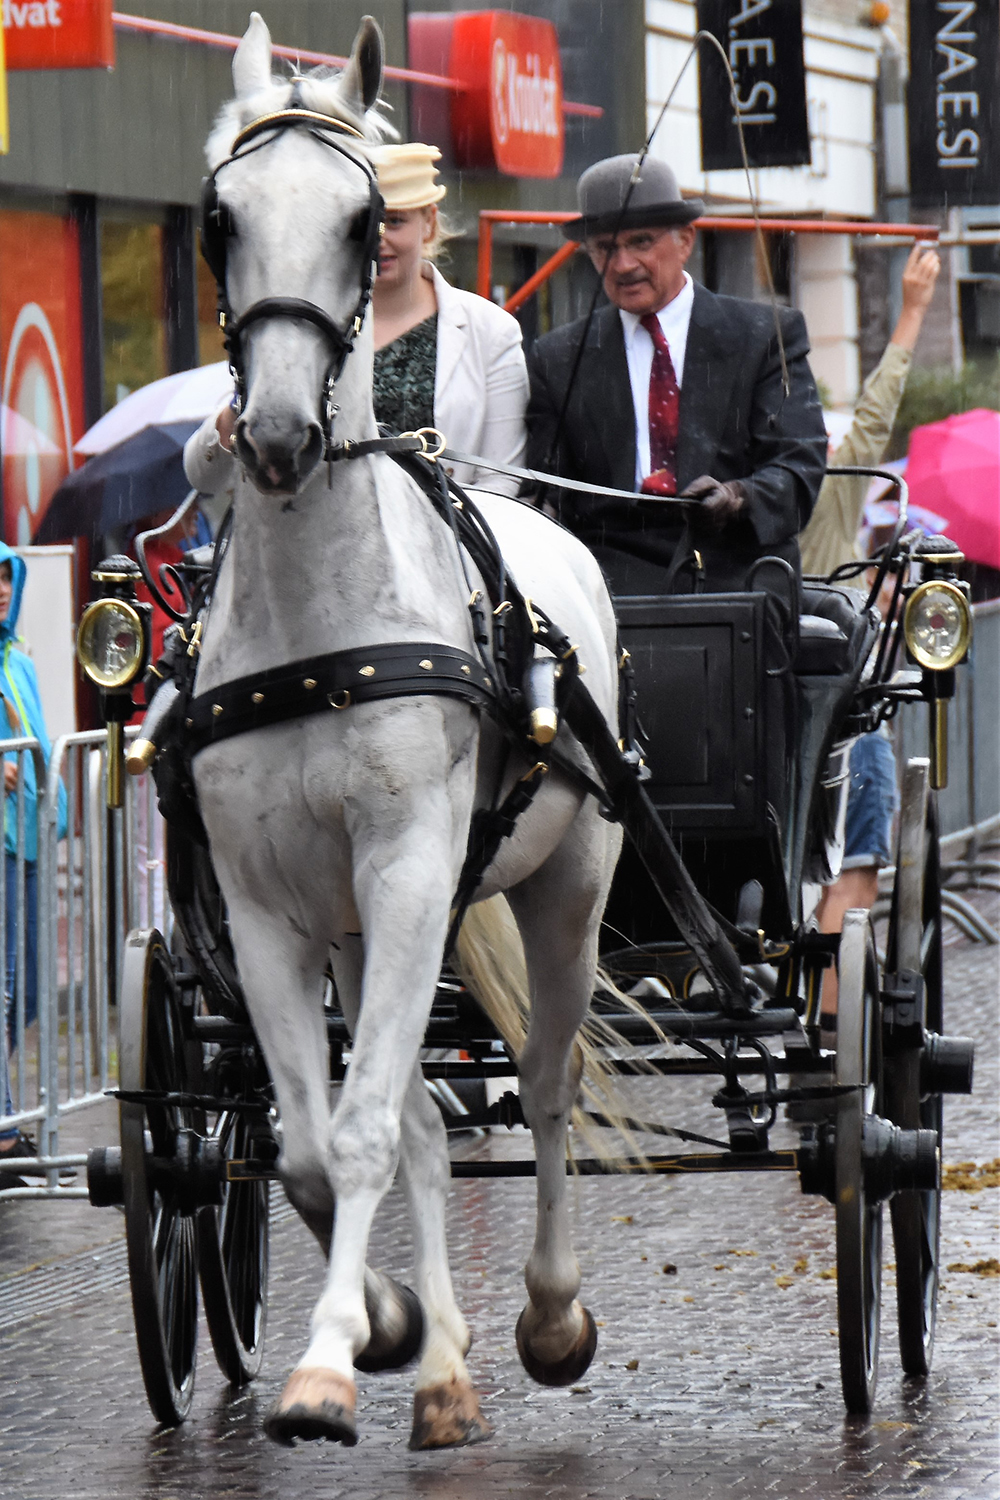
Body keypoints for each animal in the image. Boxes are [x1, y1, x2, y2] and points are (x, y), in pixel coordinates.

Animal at [191, 8, 620, 1440]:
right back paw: (440, 1368)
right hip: (357, 927)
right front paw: (381, 1327)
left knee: (539, 1079)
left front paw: (328, 1363)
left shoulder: (411, 867)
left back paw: (545, 1316)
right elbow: (313, 1144)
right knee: (435, 1117)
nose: (272, 435)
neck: (321, 630)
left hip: (560, 887)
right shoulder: (268, 906)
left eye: (360, 221)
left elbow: (370, 1122)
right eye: (219, 220)